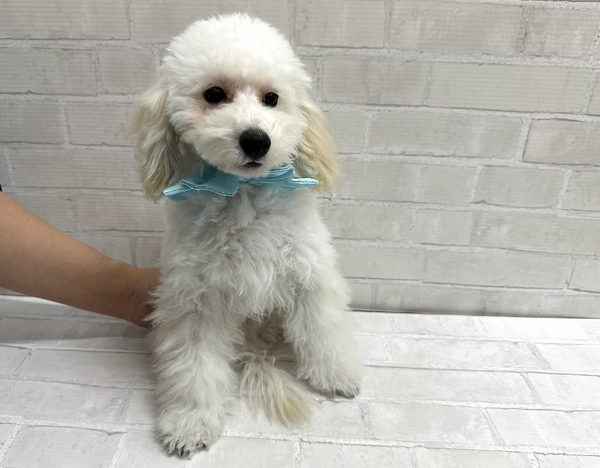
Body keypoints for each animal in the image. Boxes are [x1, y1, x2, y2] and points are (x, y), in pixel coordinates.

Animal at [129, 14, 362, 458]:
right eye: (214, 94)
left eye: (272, 98)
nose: (257, 139)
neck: (243, 193)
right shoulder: (195, 299)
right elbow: (194, 366)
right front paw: (190, 421)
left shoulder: (310, 274)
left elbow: (322, 329)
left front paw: (336, 374)